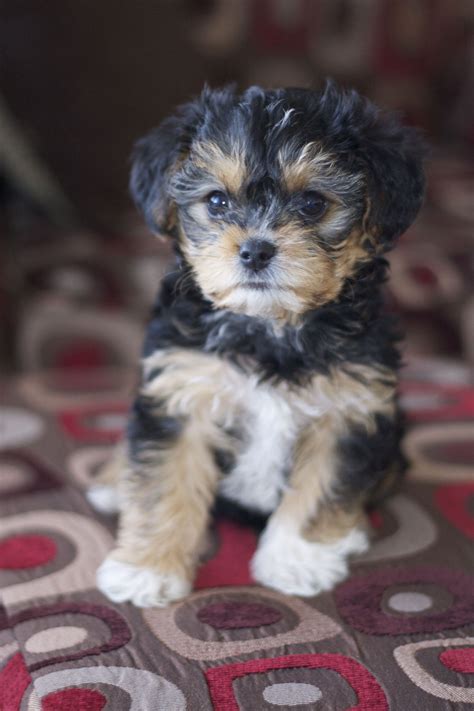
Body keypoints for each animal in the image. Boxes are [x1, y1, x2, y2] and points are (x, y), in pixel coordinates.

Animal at [89, 82, 426, 608]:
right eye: (216, 202)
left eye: (312, 203)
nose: (255, 250)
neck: (271, 326)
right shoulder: (181, 390)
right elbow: (165, 481)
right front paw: (147, 570)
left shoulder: (351, 406)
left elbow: (322, 484)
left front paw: (297, 560)